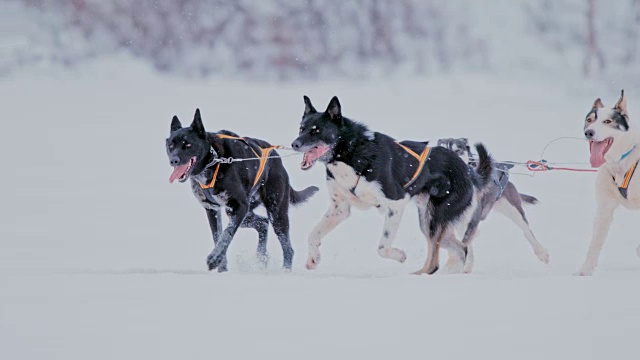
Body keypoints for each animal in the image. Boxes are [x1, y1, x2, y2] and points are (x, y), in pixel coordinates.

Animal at [168, 108, 318, 272]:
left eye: (188, 144)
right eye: (171, 146)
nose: (173, 160)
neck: (214, 161)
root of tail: (277, 158)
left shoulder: (240, 206)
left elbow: (226, 234)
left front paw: (214, 258)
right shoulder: (213, 209)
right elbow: (217, 236)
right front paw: (222, 268)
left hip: (275, 212)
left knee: (287, 247)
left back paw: (285, 270)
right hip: (243, 213)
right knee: (263, 223)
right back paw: (261, 257)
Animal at [292, 95, 496, 272]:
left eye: (316, 130)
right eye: (301, 128)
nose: (294, 144)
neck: (351, 153)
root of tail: (468, 171)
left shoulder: (396, 203)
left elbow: (382, 247)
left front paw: (399, 255)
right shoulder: (339, 208)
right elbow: (313, 233)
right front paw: (313, 257)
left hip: (434, 218)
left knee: (437, 259)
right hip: (429, 221)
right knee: (461, 249)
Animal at [576, 90, 640, 276]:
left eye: (608, 121)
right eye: (589, 120)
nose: (589, 132)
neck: (621, 163)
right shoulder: (605, 207)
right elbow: (595, 242)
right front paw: (585, 270)